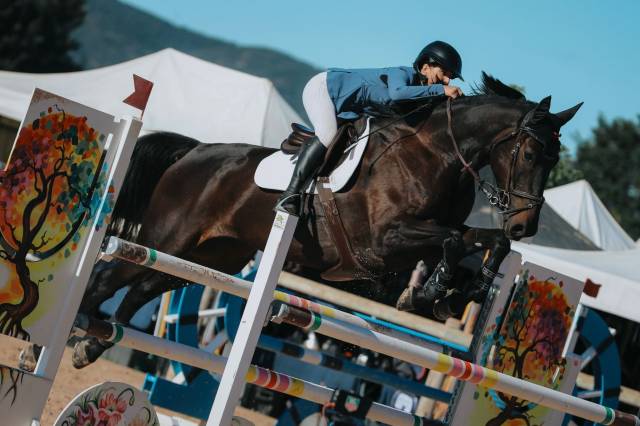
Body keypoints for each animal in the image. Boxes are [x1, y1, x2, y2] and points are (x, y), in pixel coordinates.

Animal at [69, 73, 582, 368]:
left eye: (555, 160)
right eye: (531, 153)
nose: (526, 226)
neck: (437, 154)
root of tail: (193, 151)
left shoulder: (425, 239)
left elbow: (485, 242)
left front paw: (462, 293)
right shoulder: (383, 241)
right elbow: (454, 241)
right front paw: (431, 292)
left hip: (213, 256)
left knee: (142, 287)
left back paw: (92, 344)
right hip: (169, 238)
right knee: (109, 275)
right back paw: (70, 332)